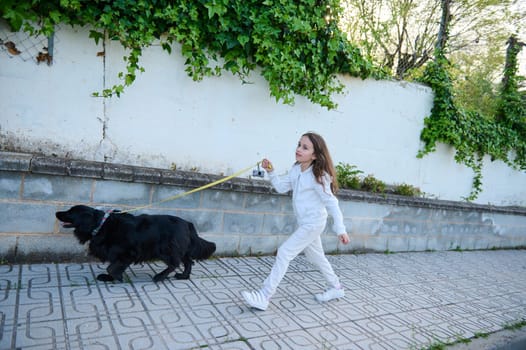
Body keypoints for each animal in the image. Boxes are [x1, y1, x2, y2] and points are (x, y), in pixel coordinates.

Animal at [56, 205, 217, 282]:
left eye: (70, 212)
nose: (57, 212)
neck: (101, 225)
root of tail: (187, 223)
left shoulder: (128, 253)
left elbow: (111, 268)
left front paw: (116, 277)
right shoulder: (119, 255)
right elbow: (114, 266)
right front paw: (110, 278)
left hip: (166, 249)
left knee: (174, 263)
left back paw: (160, 277)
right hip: (179, 248)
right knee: (188, 261)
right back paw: (183, 276)